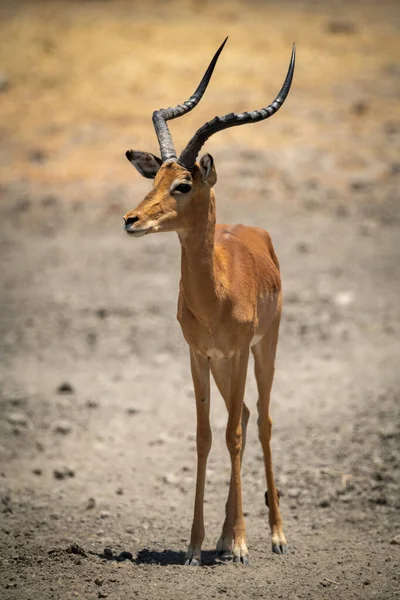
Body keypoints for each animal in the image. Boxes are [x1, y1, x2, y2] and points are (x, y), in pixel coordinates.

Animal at [123, 39, 296, 564]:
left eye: (183, 184)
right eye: (155, 178)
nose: (131, 219)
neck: (215, 292)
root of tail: (255, 233)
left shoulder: (238, 352)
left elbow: (235, 435)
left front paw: (241, 543)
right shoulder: (198, 356)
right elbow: (204, 436)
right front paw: (197, 545)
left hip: (264, 351)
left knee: (260, 421)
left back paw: (275, 536)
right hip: (223, 366)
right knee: (240, 418)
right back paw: (223, 536)